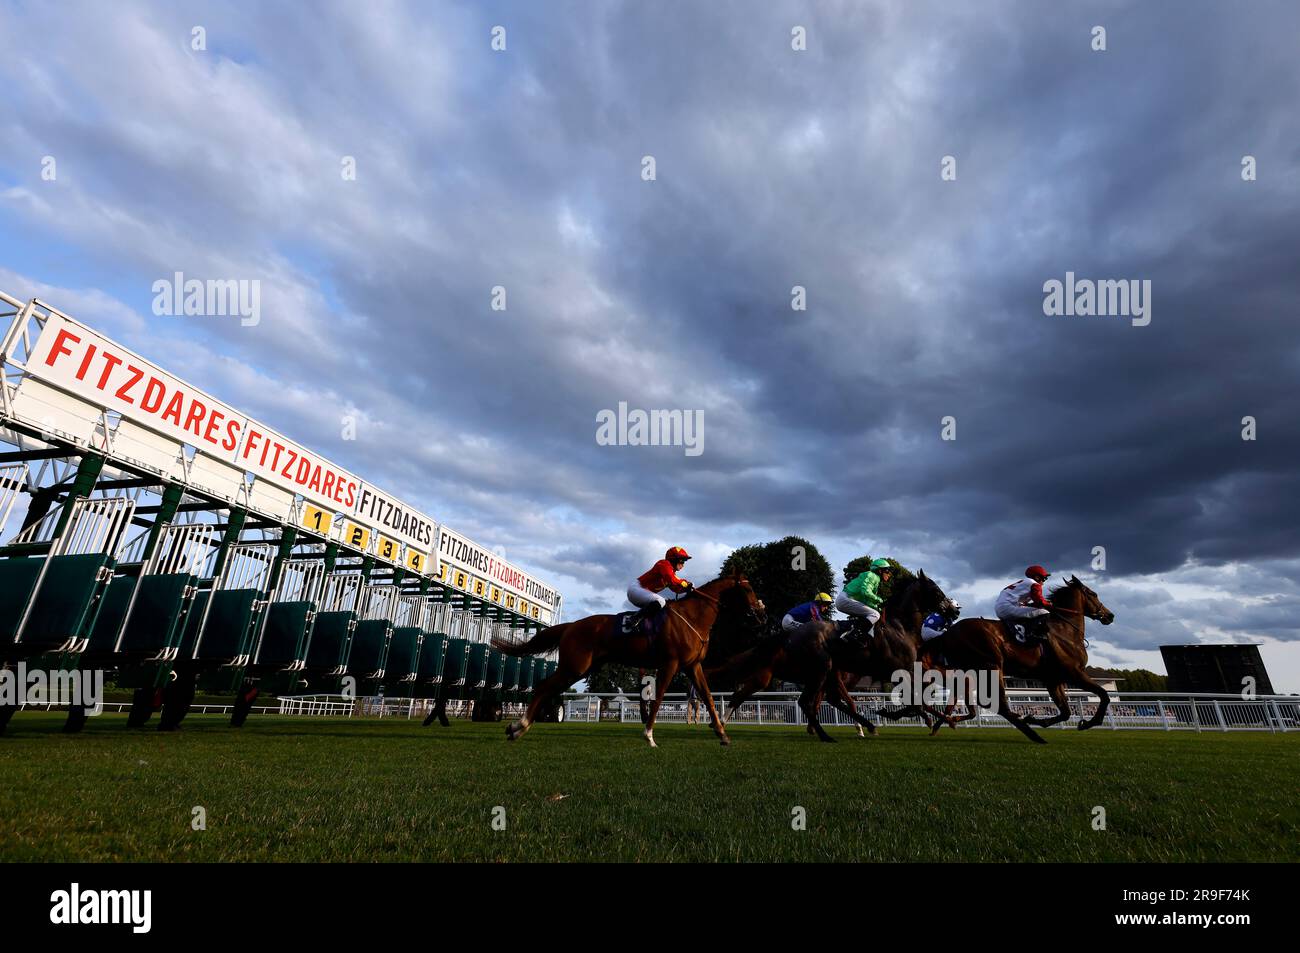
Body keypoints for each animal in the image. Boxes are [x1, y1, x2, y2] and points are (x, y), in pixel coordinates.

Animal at [491, 572, 764, 743]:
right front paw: (649, 736)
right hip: (574, 666)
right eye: (748, 588)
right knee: (544, 687)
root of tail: (571, 625)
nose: (761, 614)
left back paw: (518, 728)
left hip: (580, 668)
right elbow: (657, 698)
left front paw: (721, 733)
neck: (693, 617)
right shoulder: (671, 663)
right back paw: (518, 727)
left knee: (548, 689)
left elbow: (707, 696)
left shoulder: (692, 665)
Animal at [915, 572, 1118, 743]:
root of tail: (949, 634)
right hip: (991, 665)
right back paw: (1033, 735)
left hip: (971, 672)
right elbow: (1104, 695)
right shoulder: (1074, 673)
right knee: (999, 705)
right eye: (1093, 594)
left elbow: (1066, 712)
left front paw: (1037, 719)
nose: (1110, 615)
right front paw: (1090, 722)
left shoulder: (1053, 679)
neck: (1065, 631)